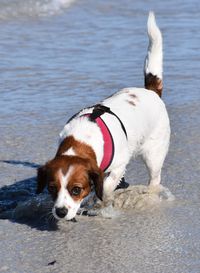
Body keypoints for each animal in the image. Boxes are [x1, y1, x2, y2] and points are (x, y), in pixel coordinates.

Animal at [36, 12, 170, 220]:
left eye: (76, 189)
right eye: (52, 188)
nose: (60, 212)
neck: (81, 141)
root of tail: (151, 91)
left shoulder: (119, 165)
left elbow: (105, 187)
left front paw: (101, 200)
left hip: (153, 155)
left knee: (154, 178)